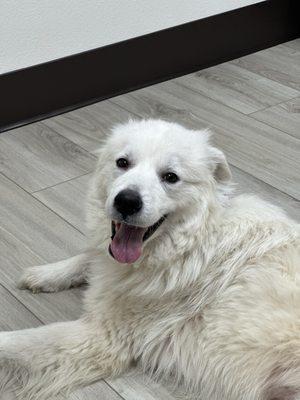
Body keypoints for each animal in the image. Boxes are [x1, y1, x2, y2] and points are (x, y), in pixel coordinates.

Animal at [0, 119, 300, 400]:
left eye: (170, 177)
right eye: (122, 162)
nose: (127, 202)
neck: (189, 245)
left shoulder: (103, 336)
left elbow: (15, 342)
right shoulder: (110, 265)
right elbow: (89, 256)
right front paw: (44, 274)